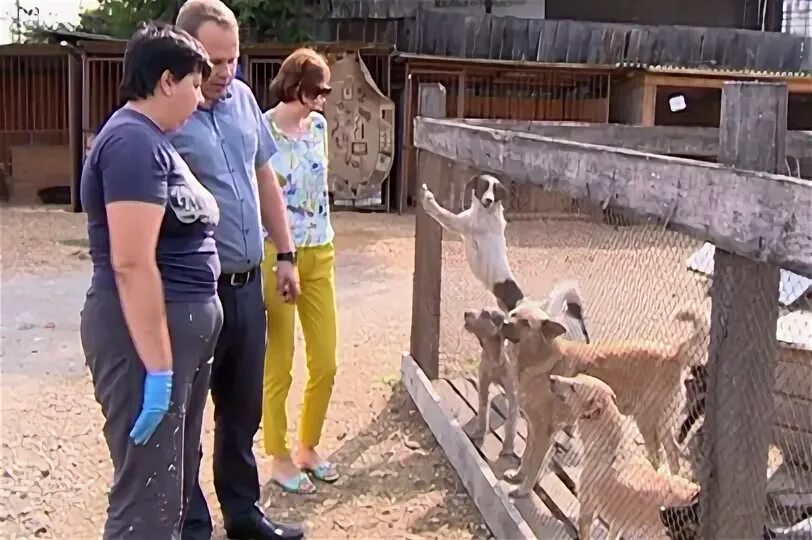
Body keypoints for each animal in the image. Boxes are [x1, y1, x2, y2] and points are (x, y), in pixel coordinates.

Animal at [502, 300, 704, 498]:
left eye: (526, 323)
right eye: (513, 314)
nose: (503, 323)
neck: (540, 358)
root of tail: (673, 353)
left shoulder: (544, 432)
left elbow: (533, 465)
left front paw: (523, 490)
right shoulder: (534, 428)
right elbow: (526, 457)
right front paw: (518, 476)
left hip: (648, 422)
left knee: (659, 455)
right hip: (659, 426)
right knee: (671, 454)